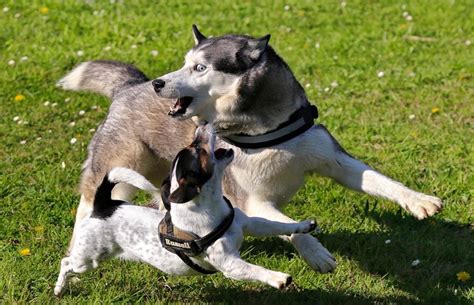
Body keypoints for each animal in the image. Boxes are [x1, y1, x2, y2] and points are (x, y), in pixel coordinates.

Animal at [57, 25, 442, 272]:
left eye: (199, 67)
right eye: (184, 63)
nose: (159, 83)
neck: (268, 131)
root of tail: (130, 85)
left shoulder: (334, 159)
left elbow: (377, 180)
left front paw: (418, 200)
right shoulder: (252, 200)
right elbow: (287, 225)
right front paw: (315, 252)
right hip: (117, 166)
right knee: (90, 203)